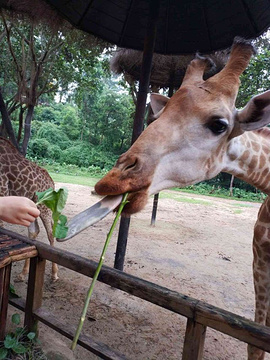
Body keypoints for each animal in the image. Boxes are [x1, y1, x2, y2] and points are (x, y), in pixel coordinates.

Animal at [0, 137, 58, 282]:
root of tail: (52, 184)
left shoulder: (2, 190)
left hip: (45, 207)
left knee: (50, 233)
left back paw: (54, 274)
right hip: (31, 206)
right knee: (34, 231)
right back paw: (22, 274)